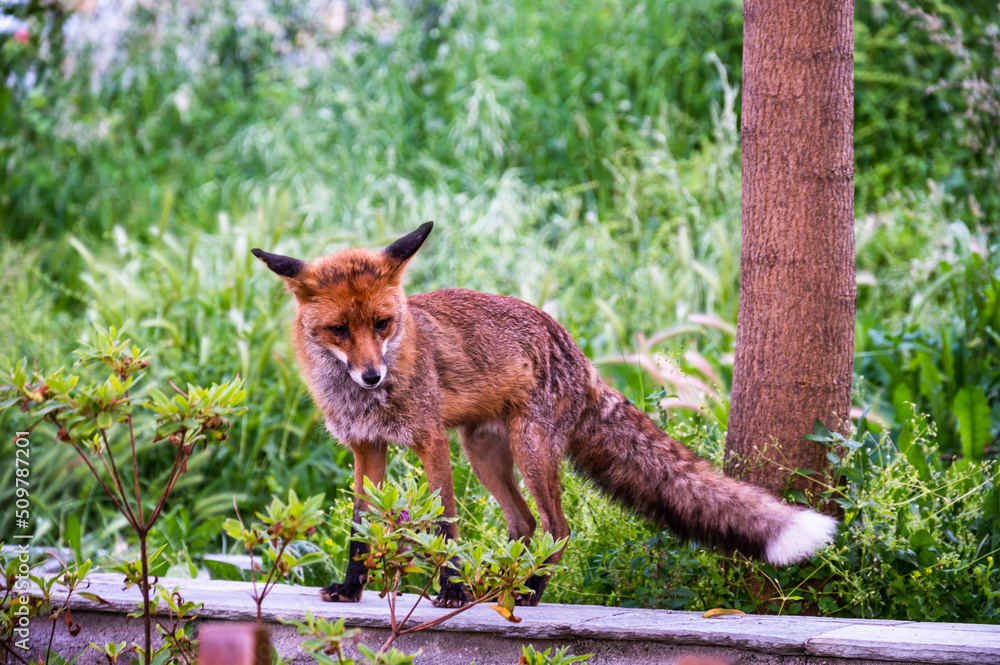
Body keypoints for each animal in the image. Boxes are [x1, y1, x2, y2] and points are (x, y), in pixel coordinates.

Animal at [252, 222, 837, 608]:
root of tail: (576, 351)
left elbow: (445, 526)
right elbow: (361, 525)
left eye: (383, 323)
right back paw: (503, 586)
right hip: (485, 453)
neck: (365, 400)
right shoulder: (366, 447)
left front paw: (451, 589)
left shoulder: (428, 441)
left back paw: (529, 590)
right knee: (525, 523)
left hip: (528, 450)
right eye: (339, 331)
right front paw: (351, 587)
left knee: (558, 528)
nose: (373, 375)